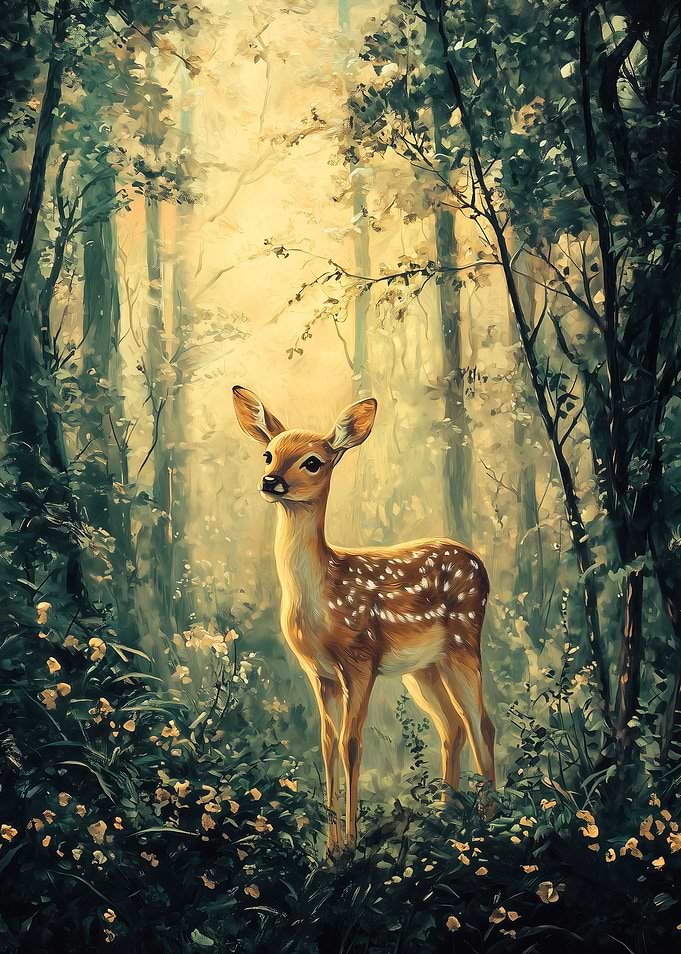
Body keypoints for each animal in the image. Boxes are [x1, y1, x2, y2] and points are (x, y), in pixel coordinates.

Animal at [232, 386, 495, 850]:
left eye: (312, 461)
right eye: (267, 454)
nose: (271, 481)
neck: (321, 600)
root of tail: (479, 564)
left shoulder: (360, 660)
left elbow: (351, 744)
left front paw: (351, 841)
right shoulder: (319, 673)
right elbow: (326, 744)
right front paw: (330, 846)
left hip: (464, 642)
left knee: (481, 722)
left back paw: (490, 821)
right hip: (423, 668)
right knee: (452, 726)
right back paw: (445, 818)